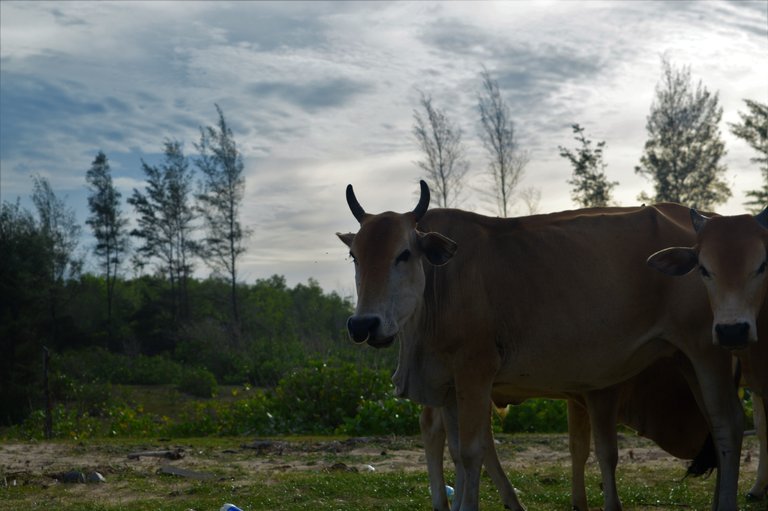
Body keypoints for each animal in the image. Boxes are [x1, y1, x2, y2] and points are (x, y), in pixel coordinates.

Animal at [338, 182, 744, 510]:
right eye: (355, 256)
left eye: (403, 254)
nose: (362, 325)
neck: (440, 283)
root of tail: (706, 229)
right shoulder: (449, 385)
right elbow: (457, 452)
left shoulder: (476, 373)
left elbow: (470, 453)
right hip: (686, 358)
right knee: (723, 421)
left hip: (707, 350)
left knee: (728, 423)